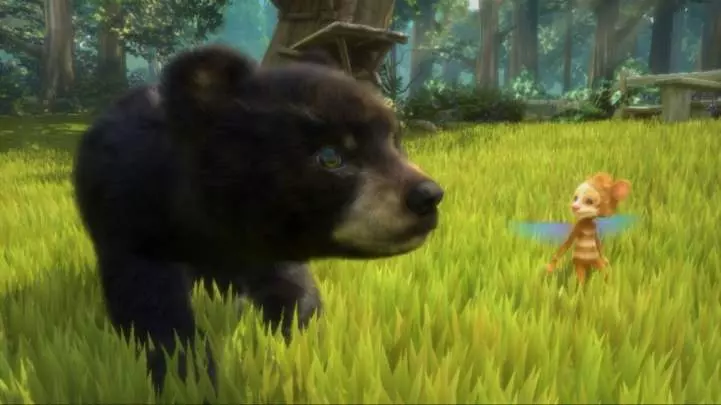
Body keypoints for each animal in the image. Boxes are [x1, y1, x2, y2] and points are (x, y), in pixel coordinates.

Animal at [72, 44, 444, 394]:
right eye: (329, 157)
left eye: (395, 139)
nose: (427, 195)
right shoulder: (135, 221)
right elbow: (152, 308)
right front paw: (192, 379)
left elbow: (295, 294)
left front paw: (310, 354)